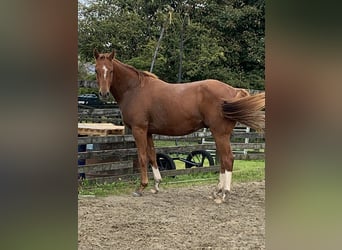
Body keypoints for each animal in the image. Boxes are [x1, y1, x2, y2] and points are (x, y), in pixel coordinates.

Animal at [93, 48, 264, 201]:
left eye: (111, 70)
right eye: (96, 70)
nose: (103, 93)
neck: (134, 89)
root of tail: (233, 91)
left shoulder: (139, 129)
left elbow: (142, 157)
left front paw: (141, 187)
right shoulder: (148, 132)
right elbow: (152, 156)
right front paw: (156, 185)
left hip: (220, 133)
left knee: (228, 159)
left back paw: (224, 194)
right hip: (219, 134)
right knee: (223, 159)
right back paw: (217, 191)